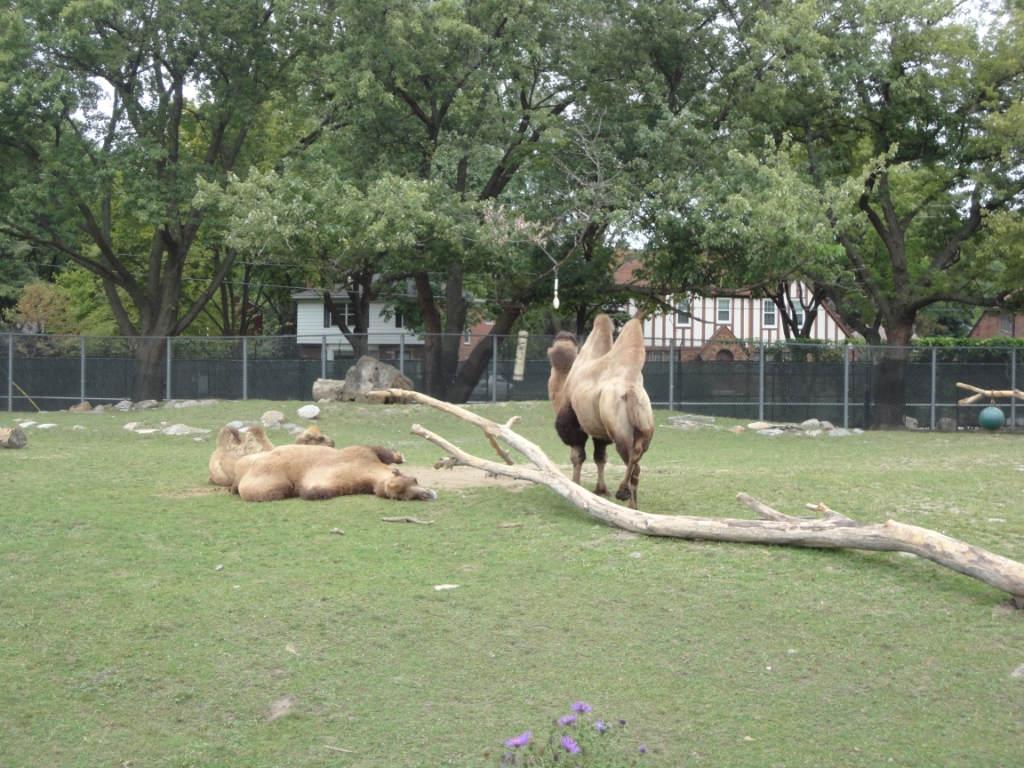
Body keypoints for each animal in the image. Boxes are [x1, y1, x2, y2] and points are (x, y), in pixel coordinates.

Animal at [544, 315, 655, 507]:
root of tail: (631, 390)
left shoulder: (573, 425)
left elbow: (577, 456)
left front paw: (575, 485)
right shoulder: (600, 432)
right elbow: (600, 457)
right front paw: (601, 490)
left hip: (618, 426)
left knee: (630, 455)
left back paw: (623, 492)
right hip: (645, 419)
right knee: (638, 457)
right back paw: (632, 505)